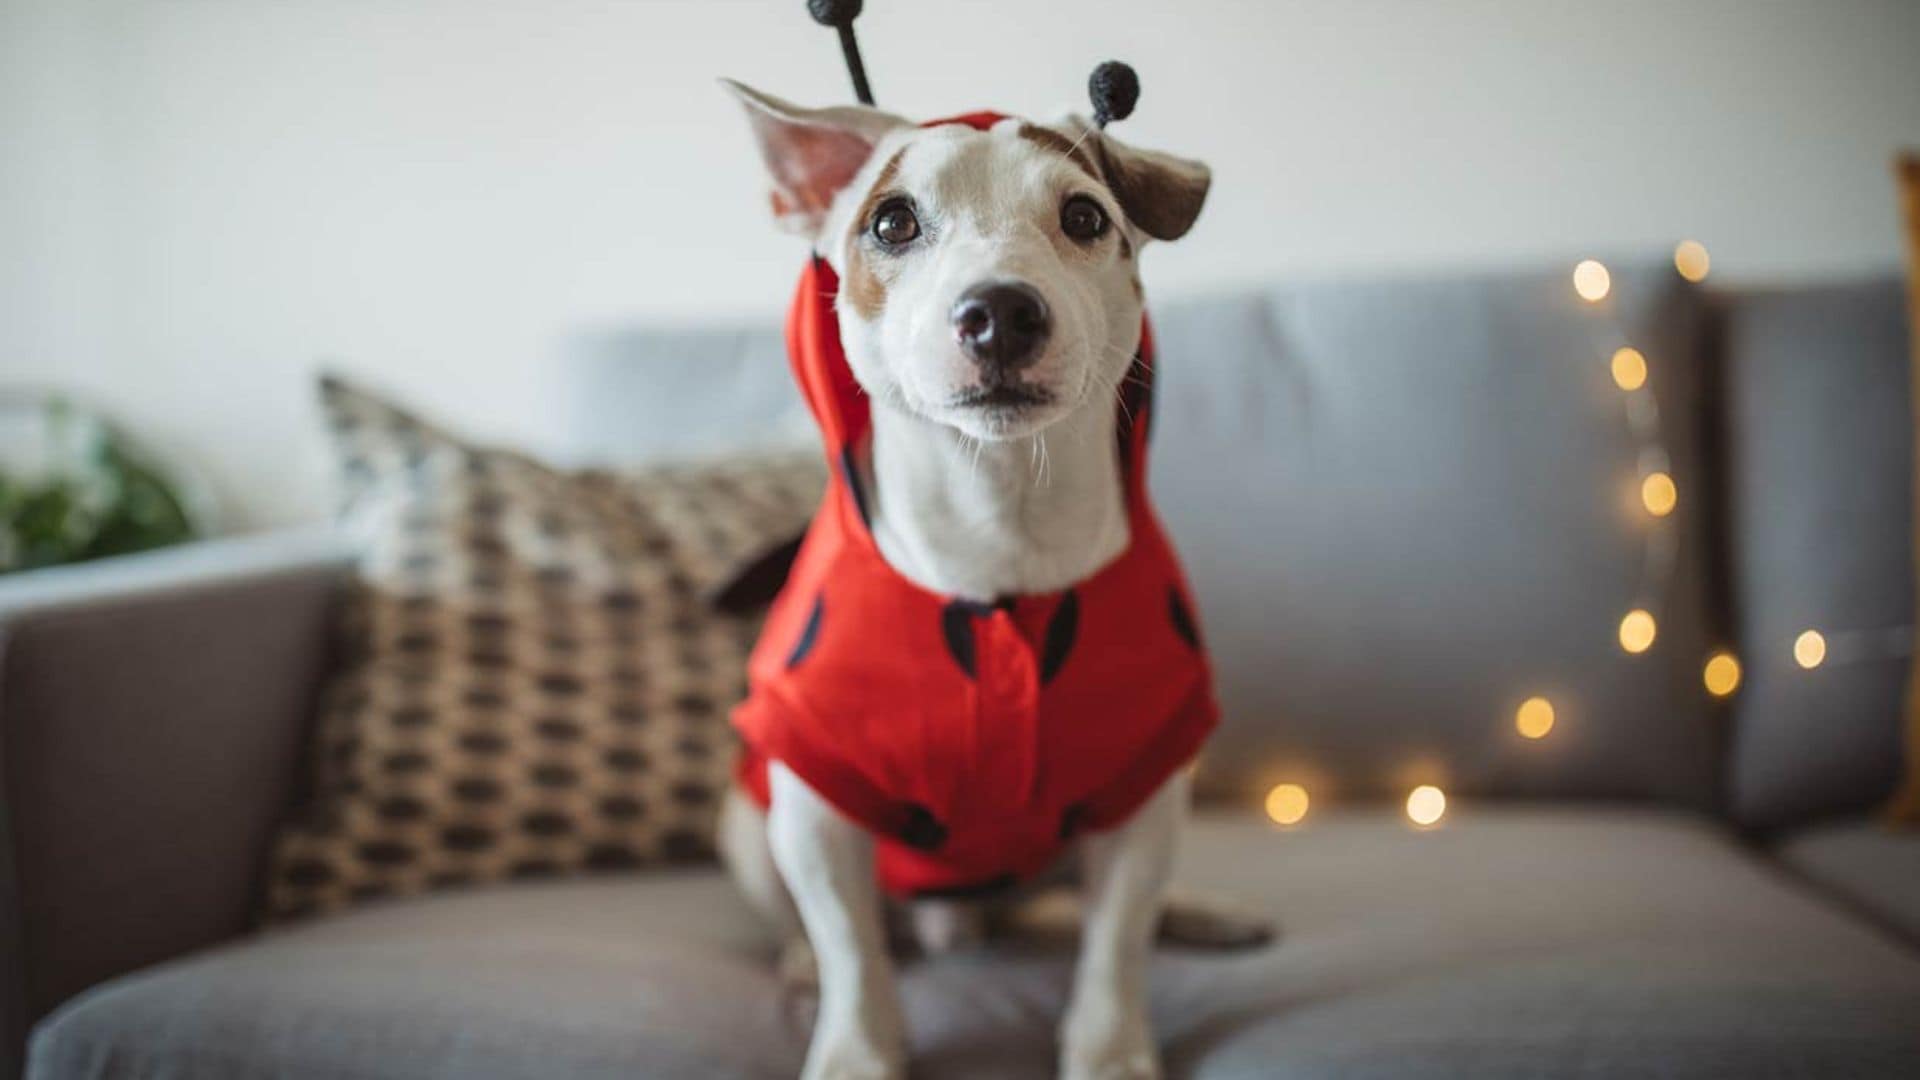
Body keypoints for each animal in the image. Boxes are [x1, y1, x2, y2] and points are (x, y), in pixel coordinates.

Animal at [714, 77, 1267, 1076]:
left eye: (1085, 216)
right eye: (892, 222)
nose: (1001, 311)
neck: (998, 519)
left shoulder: (1145, 785)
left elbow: (1116, 942)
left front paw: (1109, 1052)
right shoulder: (813, 801)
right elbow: (851, 946)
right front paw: (855, 1048)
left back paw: (1203, 913)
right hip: (748, 819)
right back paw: (800, 961)